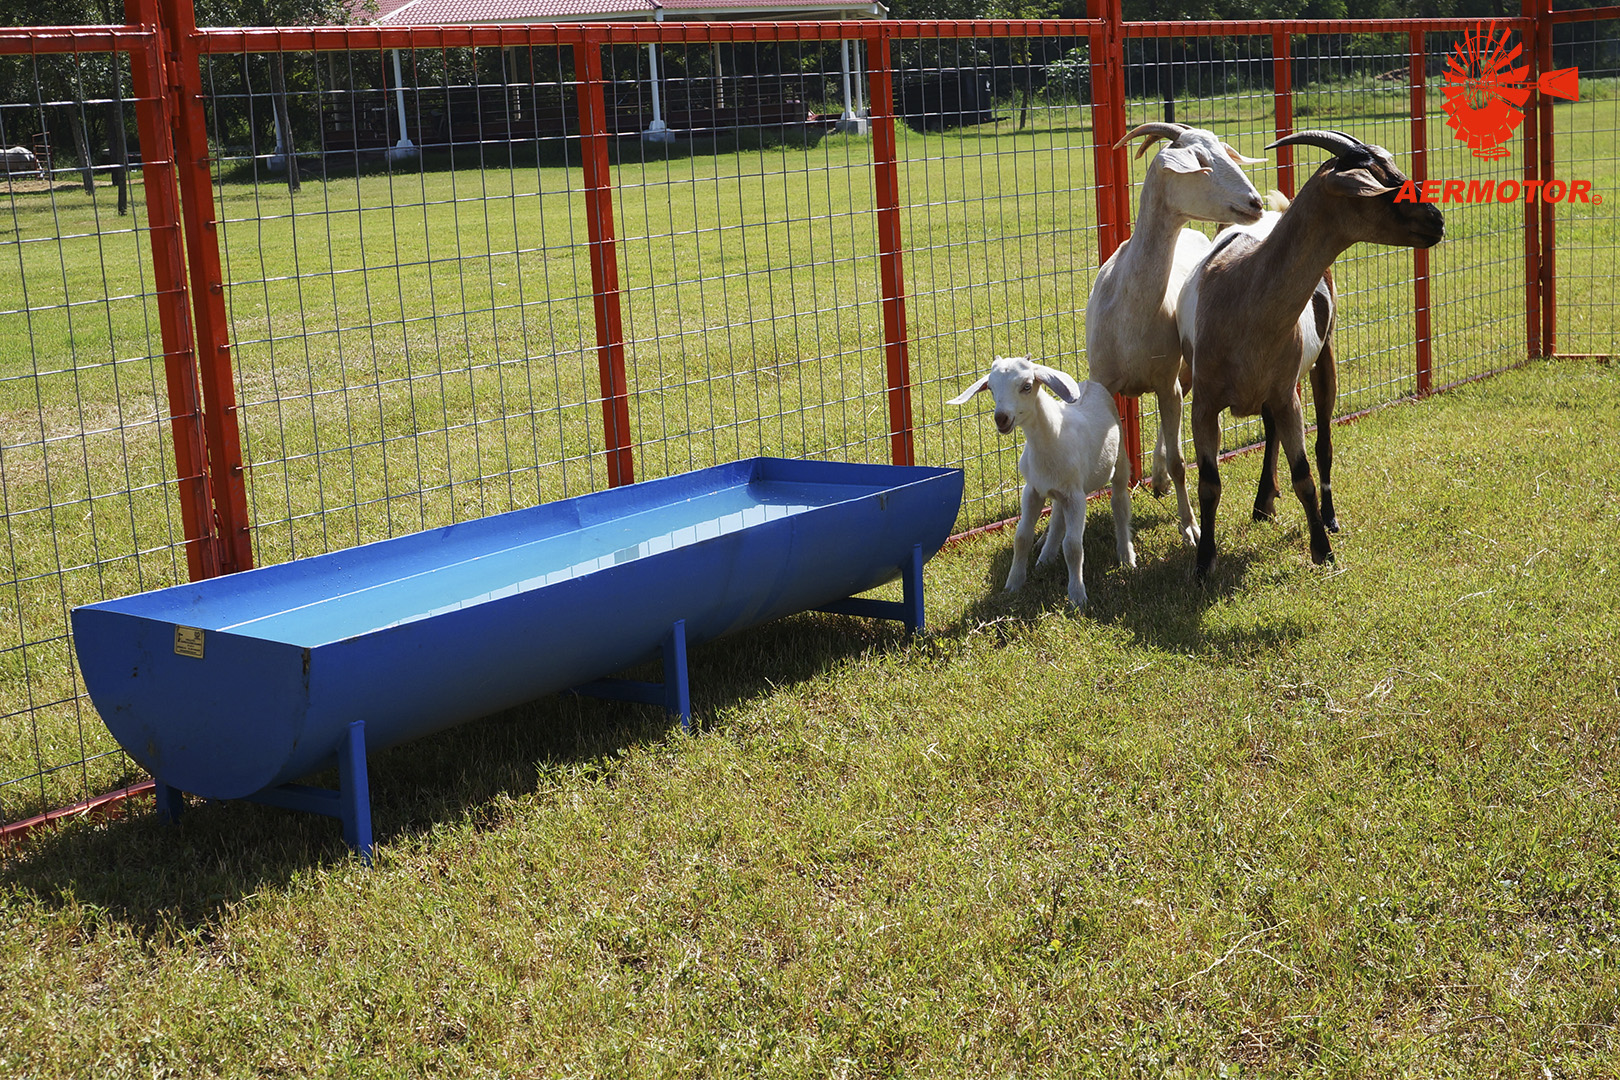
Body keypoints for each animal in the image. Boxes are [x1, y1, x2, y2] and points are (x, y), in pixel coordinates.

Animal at [946, 354, 1134, 608]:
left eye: (1026, 386)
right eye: (991, 388)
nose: (1001, 418)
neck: (1050, 439)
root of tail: (1090, 384)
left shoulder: (1075, 496)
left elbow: (1073, 546)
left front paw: (1077, 596)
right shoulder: (1033, 489)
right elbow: (1022, 538)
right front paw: (1013, 584)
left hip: (1120, 459)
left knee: (1120, 504)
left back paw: (1126, 556)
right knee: (1057, 516)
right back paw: (1046, 557)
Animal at [1088, 123, 1263, 550]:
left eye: (1225, 152)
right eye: (1199, 161)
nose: (1255, 202)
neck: (1129, 315)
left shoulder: (1166, 379)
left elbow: (1181, 461)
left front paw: (1191, 528)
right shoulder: (1106, 382)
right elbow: (1119, 467)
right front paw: (1123, 538)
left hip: (1185, 369)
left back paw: (1161, 477)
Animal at [1172, 129, 1451, 579]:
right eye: (1382, 186)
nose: (1436, 221)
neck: (1241, 296)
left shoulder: (1287, 394)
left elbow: (1302, 473)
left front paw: (1323, 548)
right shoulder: (1205, 402)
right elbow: (1209, 483)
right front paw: (1203, 562)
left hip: (1323, 359)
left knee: (1322, 443)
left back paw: (1327, 515)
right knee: (1271, 428)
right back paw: (1263, 501)